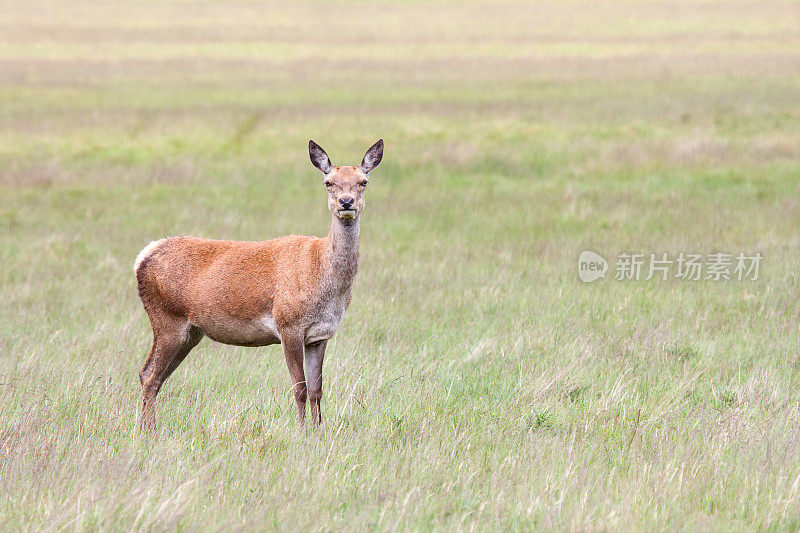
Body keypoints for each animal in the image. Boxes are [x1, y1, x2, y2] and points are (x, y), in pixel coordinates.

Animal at [133, 139, 382, 430]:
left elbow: (317, 390)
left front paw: (319, 431)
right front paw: (301, 432)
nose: (346, 201)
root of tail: (143, 257)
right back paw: (149, 430)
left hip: (190, 331)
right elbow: (300, 388)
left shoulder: (320, 334)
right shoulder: (288, 324)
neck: (323, 276)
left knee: (153, 375)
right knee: (150, 375)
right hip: (166, 318)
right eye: (328, 182)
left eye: (363, 181)